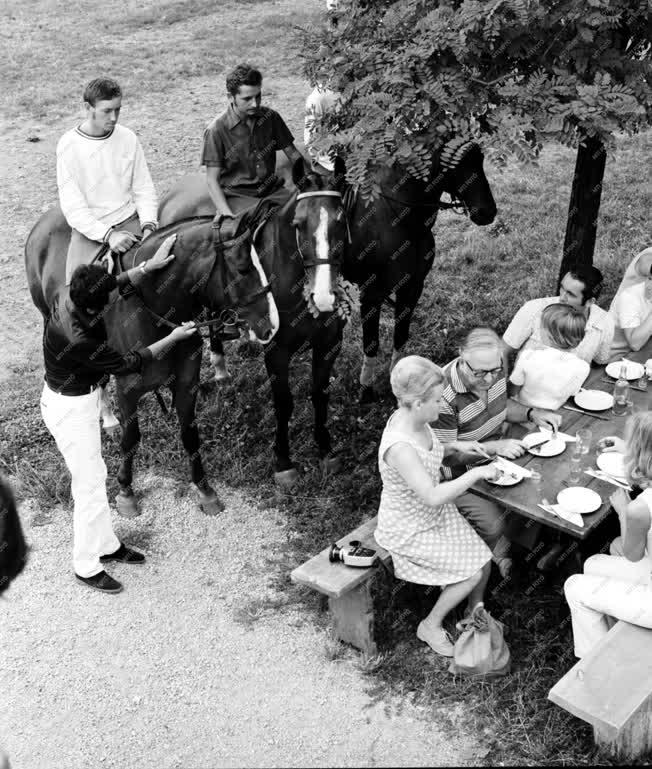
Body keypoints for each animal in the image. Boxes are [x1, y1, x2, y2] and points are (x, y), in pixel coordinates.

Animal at [25, 207, 278, 512]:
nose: (271, 325)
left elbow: (189, 434)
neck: (153, 304)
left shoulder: (186, 382)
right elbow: (130, 438)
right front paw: (126, 491)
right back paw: (108, 420)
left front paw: (205, 489)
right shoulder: (127, 388)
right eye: (242, 269)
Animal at [159, 158, 352, 484]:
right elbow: (284, 403)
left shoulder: (329, 342)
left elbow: (319, 393)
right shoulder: (276, 350)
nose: (324, 297)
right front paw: (283, 461)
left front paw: (325, 449)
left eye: (340, 221)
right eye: (299, 224)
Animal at [278, 140, 496, 402]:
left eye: (480, 158)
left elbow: (400, 335)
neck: (399, 219)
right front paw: (366, 389)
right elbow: (371, 342)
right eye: (455, 162)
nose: (487, 212)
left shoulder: (412, 286)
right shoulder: (371, 294)